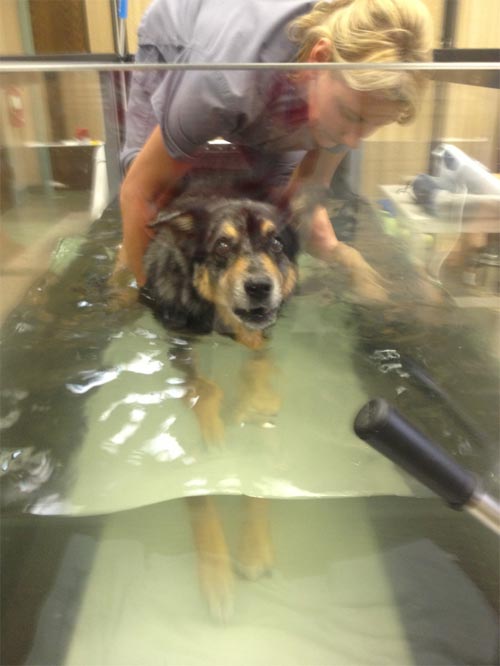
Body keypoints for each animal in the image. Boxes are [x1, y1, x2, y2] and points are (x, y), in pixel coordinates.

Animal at [139, 175, 298, 616]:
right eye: (223, 246)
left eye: (276, 243)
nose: (259, 287)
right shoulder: (179, 337)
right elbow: (204, 390)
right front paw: (216, 576)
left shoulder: (262, 339)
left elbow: (257, 374)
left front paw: (254, 548)